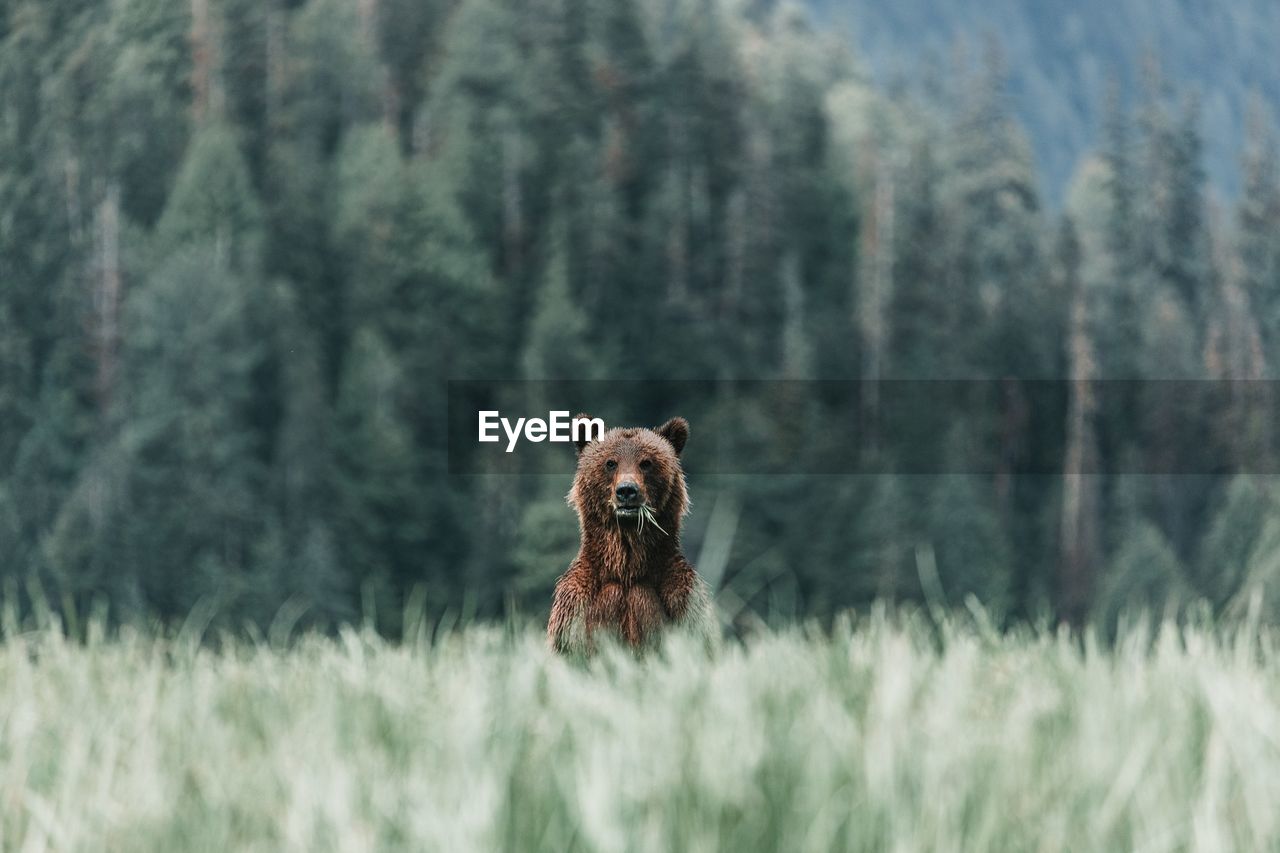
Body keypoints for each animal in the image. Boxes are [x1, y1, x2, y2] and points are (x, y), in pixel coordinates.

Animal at [545, 412, 716, 650]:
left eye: (646, 463)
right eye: (610, 463)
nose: (627, 490)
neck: (627, 567)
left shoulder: (683, 599)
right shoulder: (574, 606)